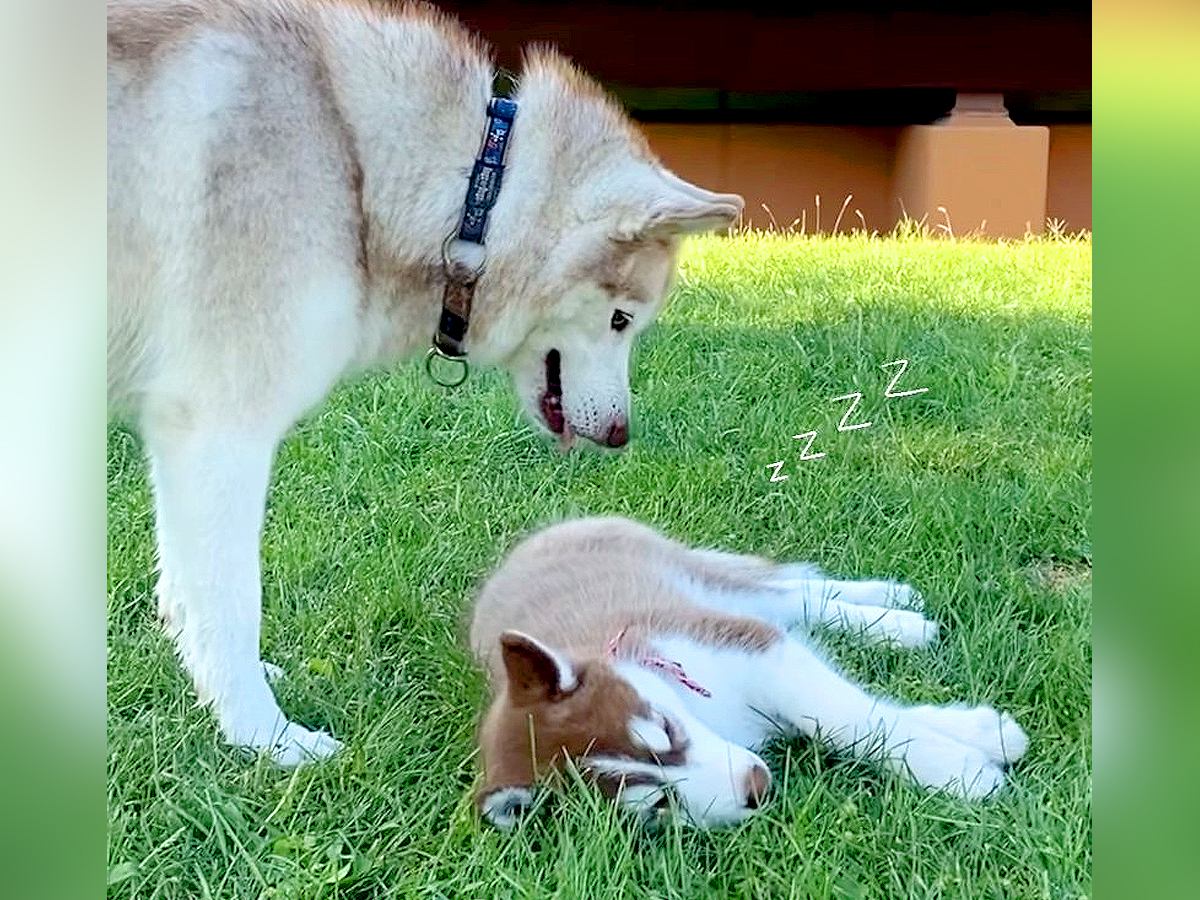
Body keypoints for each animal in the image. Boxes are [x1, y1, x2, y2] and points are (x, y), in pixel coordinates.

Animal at [108, 0, 744, 768]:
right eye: (622, 319)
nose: (622, 435)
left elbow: (192, 592)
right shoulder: (218, 430)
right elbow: (229, 598)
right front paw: (263, 736)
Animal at [470, 520, 1032, 830]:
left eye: (666, 730)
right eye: (656, 803)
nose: (757, 789)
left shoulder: (752, 649)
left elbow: (849, 718)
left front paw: (961, 770)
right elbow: (862, 714)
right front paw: (978, 735)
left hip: (696, 579)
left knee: (789, 590)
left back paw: (894, 610)